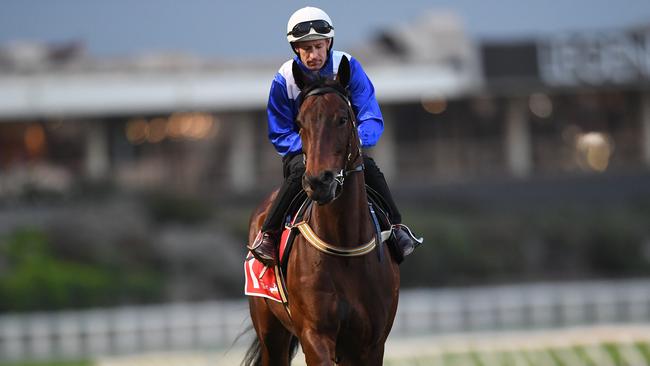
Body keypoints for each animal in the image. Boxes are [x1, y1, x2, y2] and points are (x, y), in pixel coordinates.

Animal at [242, 55, 398, 364]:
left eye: (342, 118)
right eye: (300, 123)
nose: (318, 181)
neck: (345, 244)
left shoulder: (371, 343)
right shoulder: (315, 335)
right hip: (271, 332)